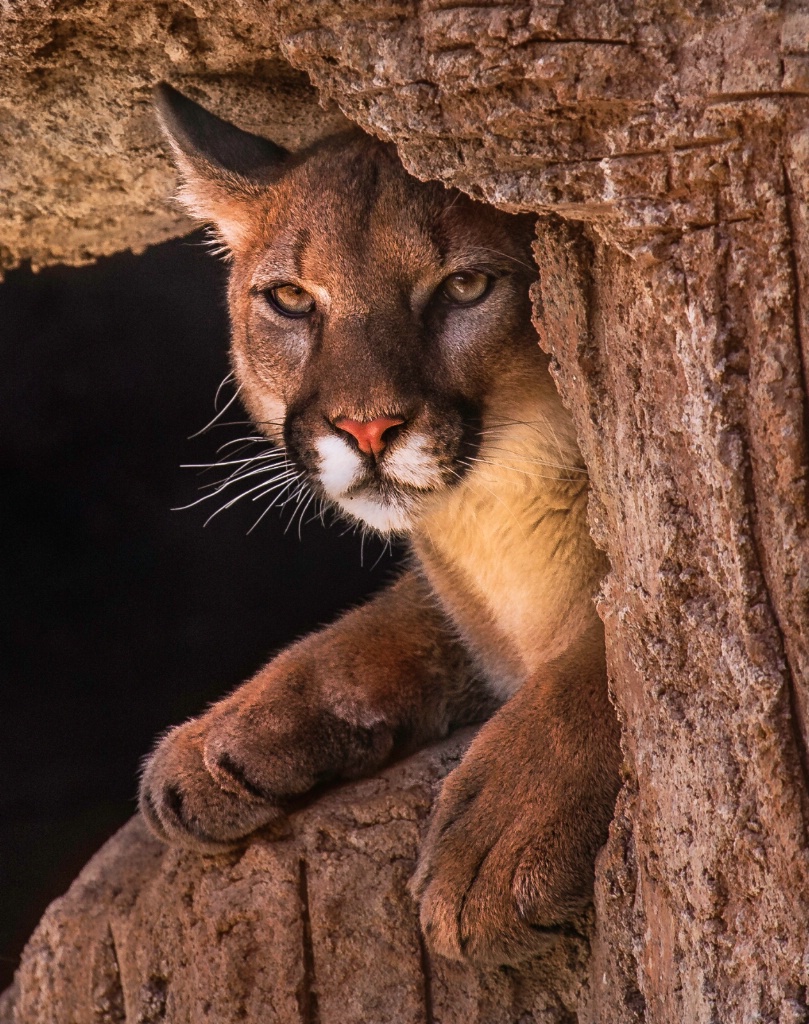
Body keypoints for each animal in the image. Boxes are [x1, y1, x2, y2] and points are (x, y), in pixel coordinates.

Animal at [141, 83, 622, 962]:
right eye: (292, 299)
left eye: (466, 287)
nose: (366, 430)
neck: (498, 519)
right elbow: (380, 625)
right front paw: (221, 736)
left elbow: (608, 654)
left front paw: (502, 839)